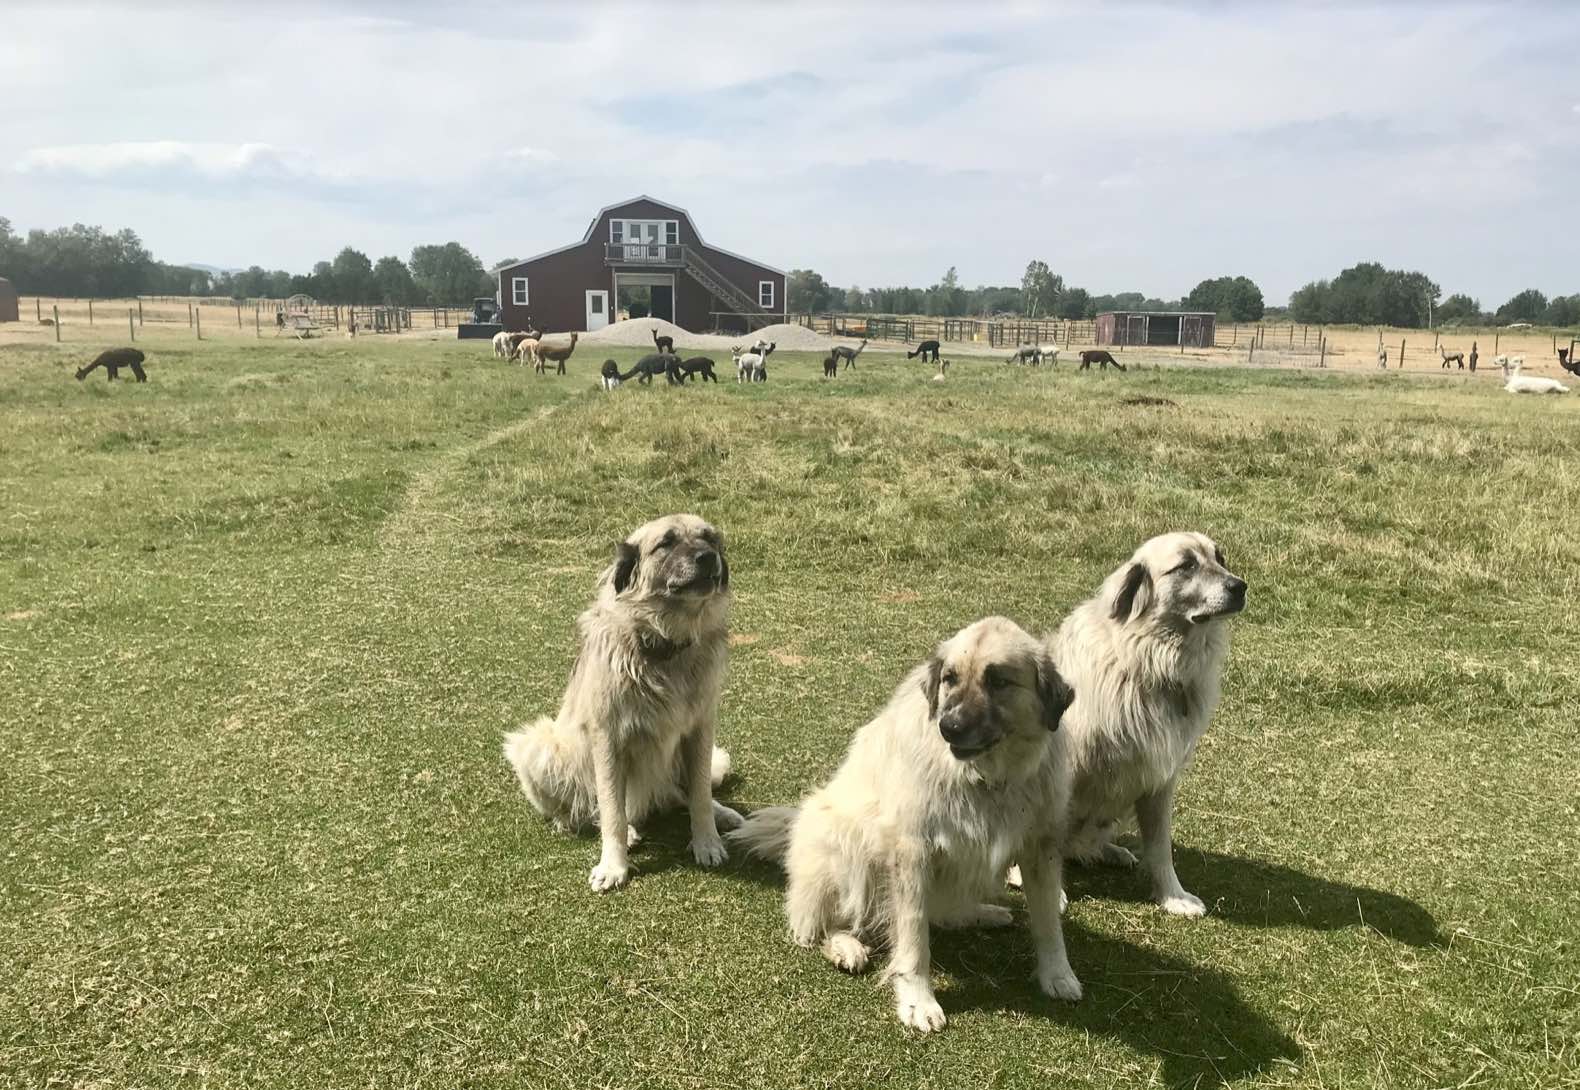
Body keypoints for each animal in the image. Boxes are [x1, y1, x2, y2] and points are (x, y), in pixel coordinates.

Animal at [502, 514, 736, 884]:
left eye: (710, 539)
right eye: (666, 542)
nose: (707, 557)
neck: (663, 644)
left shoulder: (700, 729)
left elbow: (699, 794)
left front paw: (707, 842)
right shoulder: (608, 739)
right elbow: (612, 809)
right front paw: (614, 865)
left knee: (683, 792)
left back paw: (721, 811)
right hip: (537, 744)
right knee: (589, 808)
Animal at [729, 616, 1080, 1029]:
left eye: (998, 681)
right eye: (950, 678)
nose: (949, 726)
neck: (987, 778)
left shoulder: (1041, 846)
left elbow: (1048, 921)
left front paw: (1058, 974)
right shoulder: (913, 852)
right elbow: (914, 936)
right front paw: (917, 1000)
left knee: (945, 912)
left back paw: (980, 913)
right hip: (848, 842)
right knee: (821, 924)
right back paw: (846, 946)